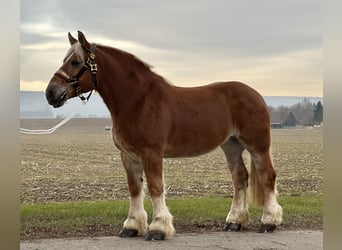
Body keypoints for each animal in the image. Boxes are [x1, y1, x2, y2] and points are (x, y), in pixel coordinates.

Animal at [45, 31, 282, 240]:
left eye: (75, 62)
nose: (50, 93)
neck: (137, 100)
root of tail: (256, 94)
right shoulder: (128, 156)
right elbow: (135, 189)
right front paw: (132, 226)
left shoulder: (151, 153)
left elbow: (155, 187)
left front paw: (158, 228)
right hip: (231, 146)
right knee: (240, 178)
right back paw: (234, 221)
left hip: (257, 146)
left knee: (267, 176)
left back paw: (269, 222)